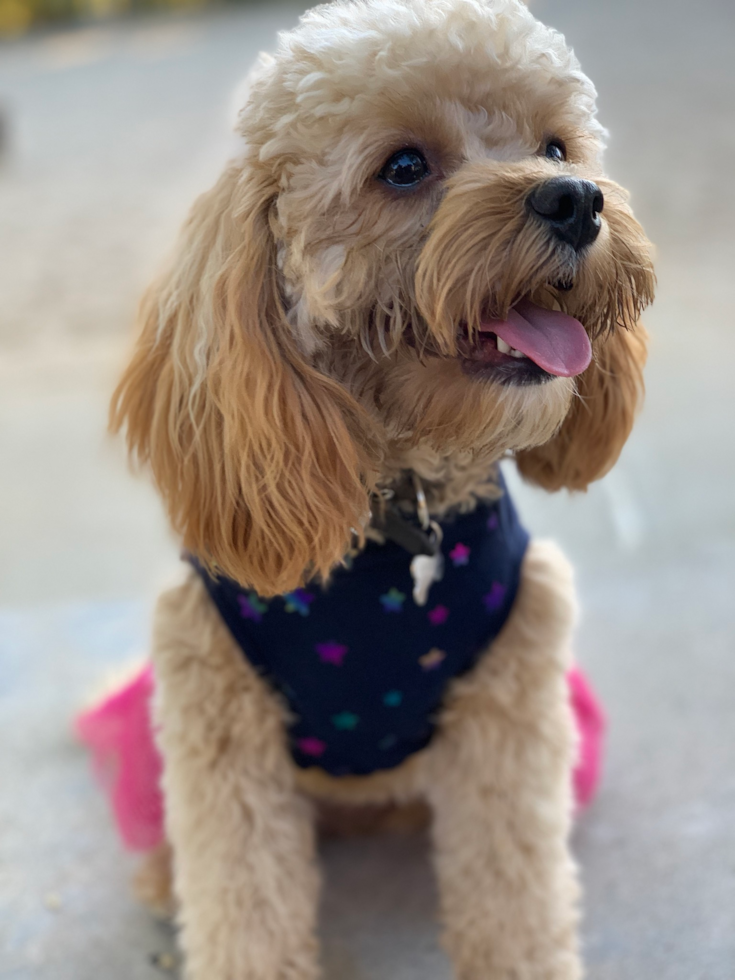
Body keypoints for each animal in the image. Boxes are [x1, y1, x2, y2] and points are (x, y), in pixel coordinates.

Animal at [110, 0, 656, 976]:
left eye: (556, 147)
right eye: (403, 167)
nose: (577, 199)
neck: (402, 515)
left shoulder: (510, 708)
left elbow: (515, 891)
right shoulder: (219, 721)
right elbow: (244, 905)